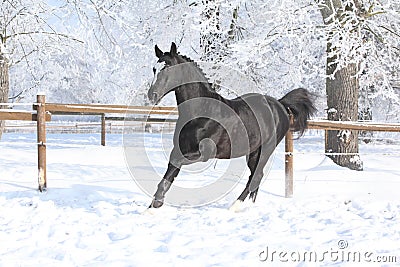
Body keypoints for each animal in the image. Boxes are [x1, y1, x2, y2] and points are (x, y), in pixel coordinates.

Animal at [147, 42, 316, 209]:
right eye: (154, 69)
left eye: (168, 67)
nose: (152, 95)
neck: (201, 111)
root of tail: (280, 104)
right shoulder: (180, 148)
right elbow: (171, 170)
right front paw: (154, 205)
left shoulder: (204, 153)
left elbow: (175, 163)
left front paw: (156, 202)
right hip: (253, 152)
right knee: (255, 177)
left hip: (265, 150)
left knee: (256, 176)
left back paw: (236, 206)